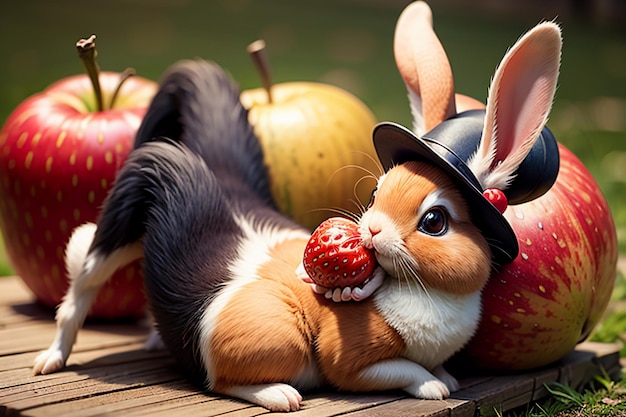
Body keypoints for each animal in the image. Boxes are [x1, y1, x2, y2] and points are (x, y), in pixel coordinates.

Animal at [31, 0, 560, 410]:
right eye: (375, 193)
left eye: (434, 220)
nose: (370, 231)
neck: (425, 293)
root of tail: (215, 172)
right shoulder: (351, 363)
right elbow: (401, 369)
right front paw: (435, 385)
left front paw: (447, 375)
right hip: (261, 320)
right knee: (190, 358)